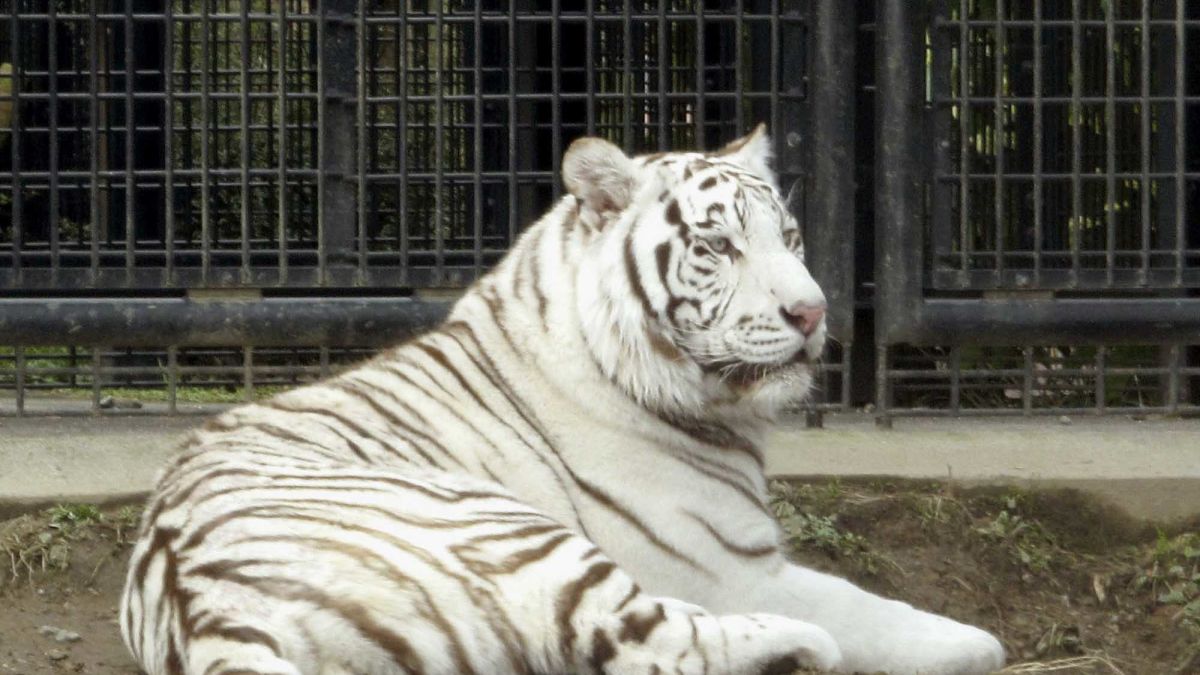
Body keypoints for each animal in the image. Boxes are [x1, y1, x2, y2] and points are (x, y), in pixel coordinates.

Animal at [119, 127, 1003, 672]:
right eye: (718, 245)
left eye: (787, 237)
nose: (814, 312)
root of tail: (204, 605)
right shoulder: (730, 569)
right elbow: (869, 607)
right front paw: (972, 639)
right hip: (522, 535)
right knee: (661, 642)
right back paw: (804, 644)